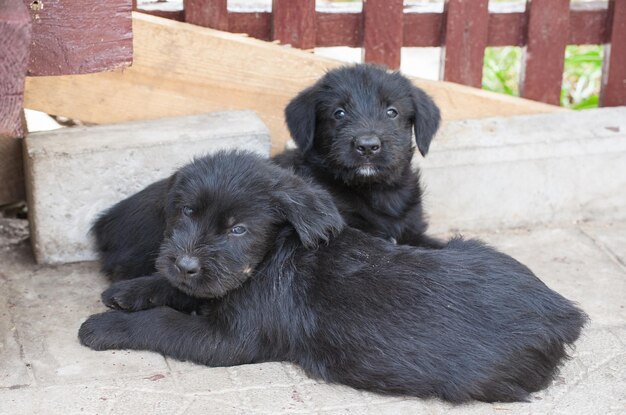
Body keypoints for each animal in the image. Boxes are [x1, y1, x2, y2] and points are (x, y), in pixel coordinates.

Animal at [78, 151, 584, 404]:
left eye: (238, 230)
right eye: (185, 213)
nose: (184, 263)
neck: (272, 255)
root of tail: (565, 314)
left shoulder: (230, 341)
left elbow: (163, 321)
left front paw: (104, 326)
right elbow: (177, 290)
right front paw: (129, 289)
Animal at [92, 63, 442, 282]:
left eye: (392, 111)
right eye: (339, 113)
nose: (367, 145)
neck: (374, 192)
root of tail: (103, 224)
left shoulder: (413, 229)